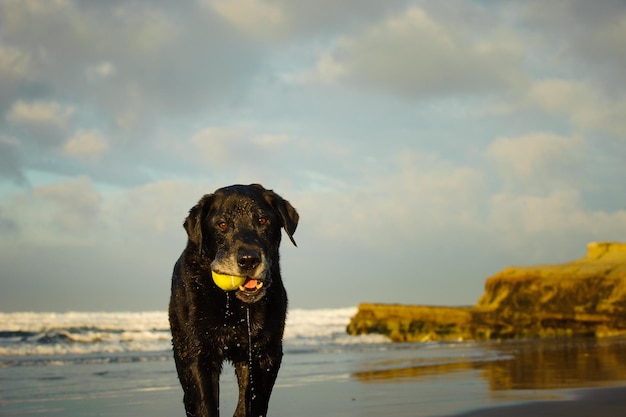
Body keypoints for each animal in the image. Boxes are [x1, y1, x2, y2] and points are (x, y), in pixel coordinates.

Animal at [168, 184, 298, 414]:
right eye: (222, 224)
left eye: (262, 220)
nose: (248, 259)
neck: (234, 304)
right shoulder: (198, 355)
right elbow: (205, 404)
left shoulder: (265, 354)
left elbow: (251, 404)